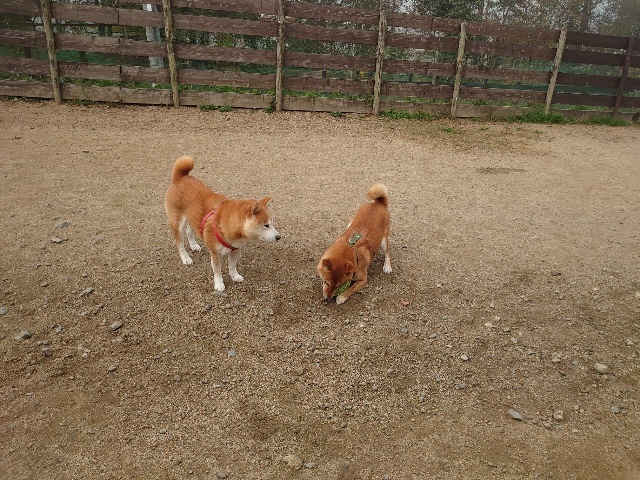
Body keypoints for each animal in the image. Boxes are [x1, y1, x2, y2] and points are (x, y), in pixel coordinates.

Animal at [165, 156, 281, 292]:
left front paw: (234, 276)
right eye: (266, 225)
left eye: (272, 223)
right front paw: (219, 284)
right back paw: (186, 258)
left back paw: (194, 245)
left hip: (192, 217)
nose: (279, 237)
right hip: (177, 224)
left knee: (190, 231)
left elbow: (232, 266)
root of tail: (180, 178)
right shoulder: (215, 254)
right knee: (180, 244)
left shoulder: (235, 249)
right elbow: (217, 270)